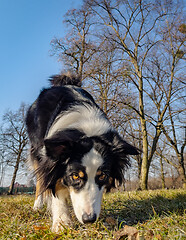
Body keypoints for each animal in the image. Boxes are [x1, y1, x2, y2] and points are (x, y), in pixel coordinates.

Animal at [25, 73, 138, 232]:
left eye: (102, 175)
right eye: (75, 176)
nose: (89, 219)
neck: (86, 130)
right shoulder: (49, 160)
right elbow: (54, 187)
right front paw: (61, 223)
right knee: (40, 181)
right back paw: (38, 205)